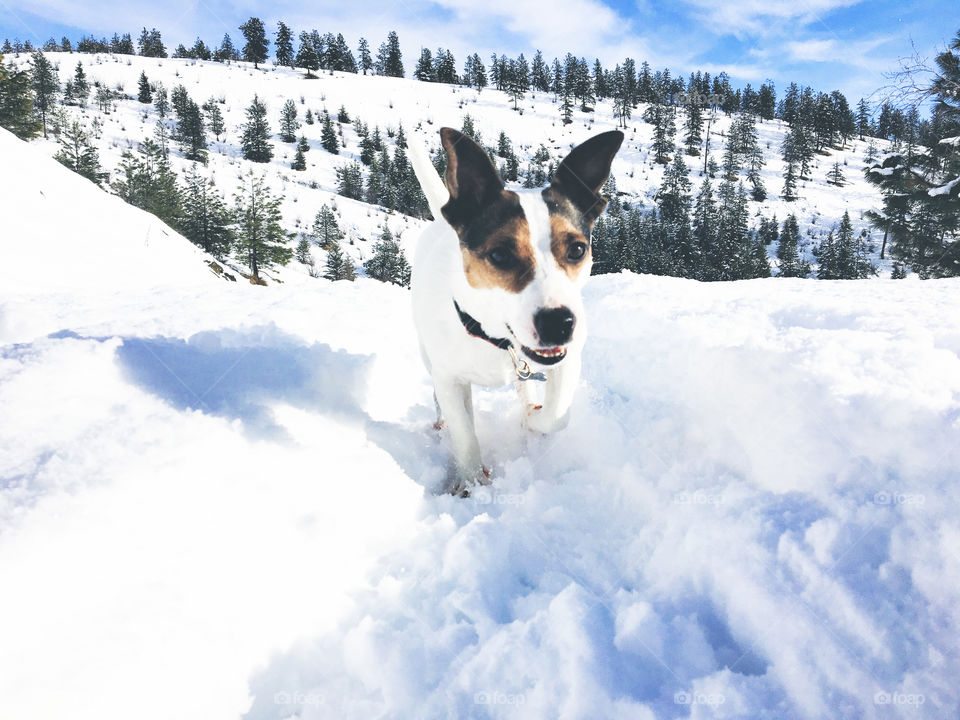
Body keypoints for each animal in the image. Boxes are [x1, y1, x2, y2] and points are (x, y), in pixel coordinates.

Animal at [410, 126, 624, 496]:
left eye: (577, 249)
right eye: (499, 255)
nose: (559, 323)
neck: (494, 339)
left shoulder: (566, 360)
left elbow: (557, 414)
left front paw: (532, 418)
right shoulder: (449, 377)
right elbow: (464, 432)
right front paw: (470, 481)